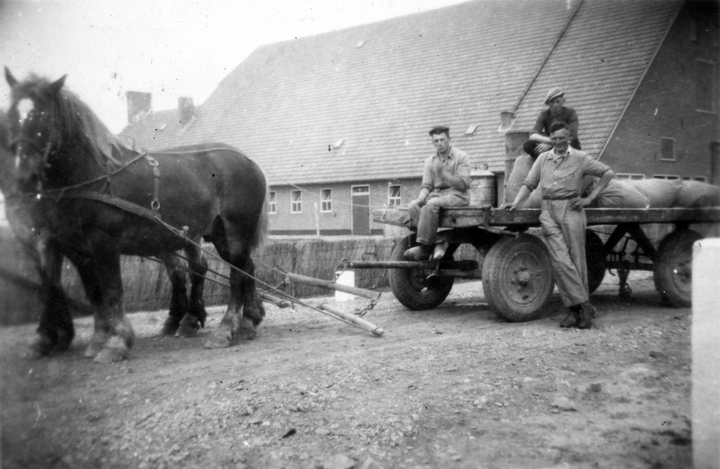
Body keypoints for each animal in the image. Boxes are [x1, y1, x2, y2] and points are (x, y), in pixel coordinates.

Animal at [0, 107, 212, 357]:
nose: (23, 186)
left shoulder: (53, 240)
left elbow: (61, 284)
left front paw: (58, 334)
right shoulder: (46, 242)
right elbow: (56, 284)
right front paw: (55, 335)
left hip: (188, 234)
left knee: (197, 268)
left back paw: (190, 320)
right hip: (166, 238)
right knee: (179, 271)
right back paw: (176, 321)